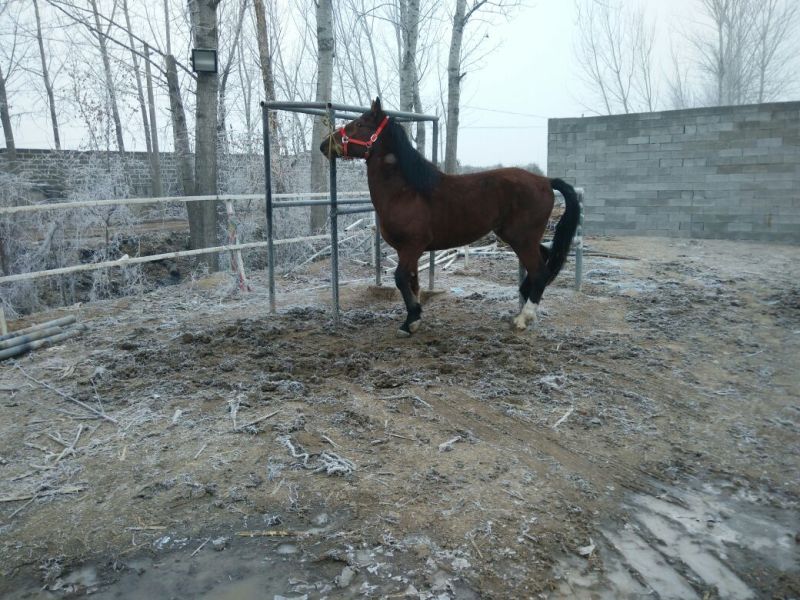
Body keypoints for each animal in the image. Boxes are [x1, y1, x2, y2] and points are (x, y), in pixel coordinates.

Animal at [320, 97, 580, 337]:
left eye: (359, 124)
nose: (324, 145)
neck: (405, 191)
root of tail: (545, 181)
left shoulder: (413, 246)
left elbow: (401, 278)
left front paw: (410, 321)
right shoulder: (407, 250)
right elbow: (412, 280)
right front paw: (415, 319)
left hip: (521, 238)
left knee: (540, 272)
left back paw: (524, 318)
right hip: (520, 237)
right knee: (544, 257)